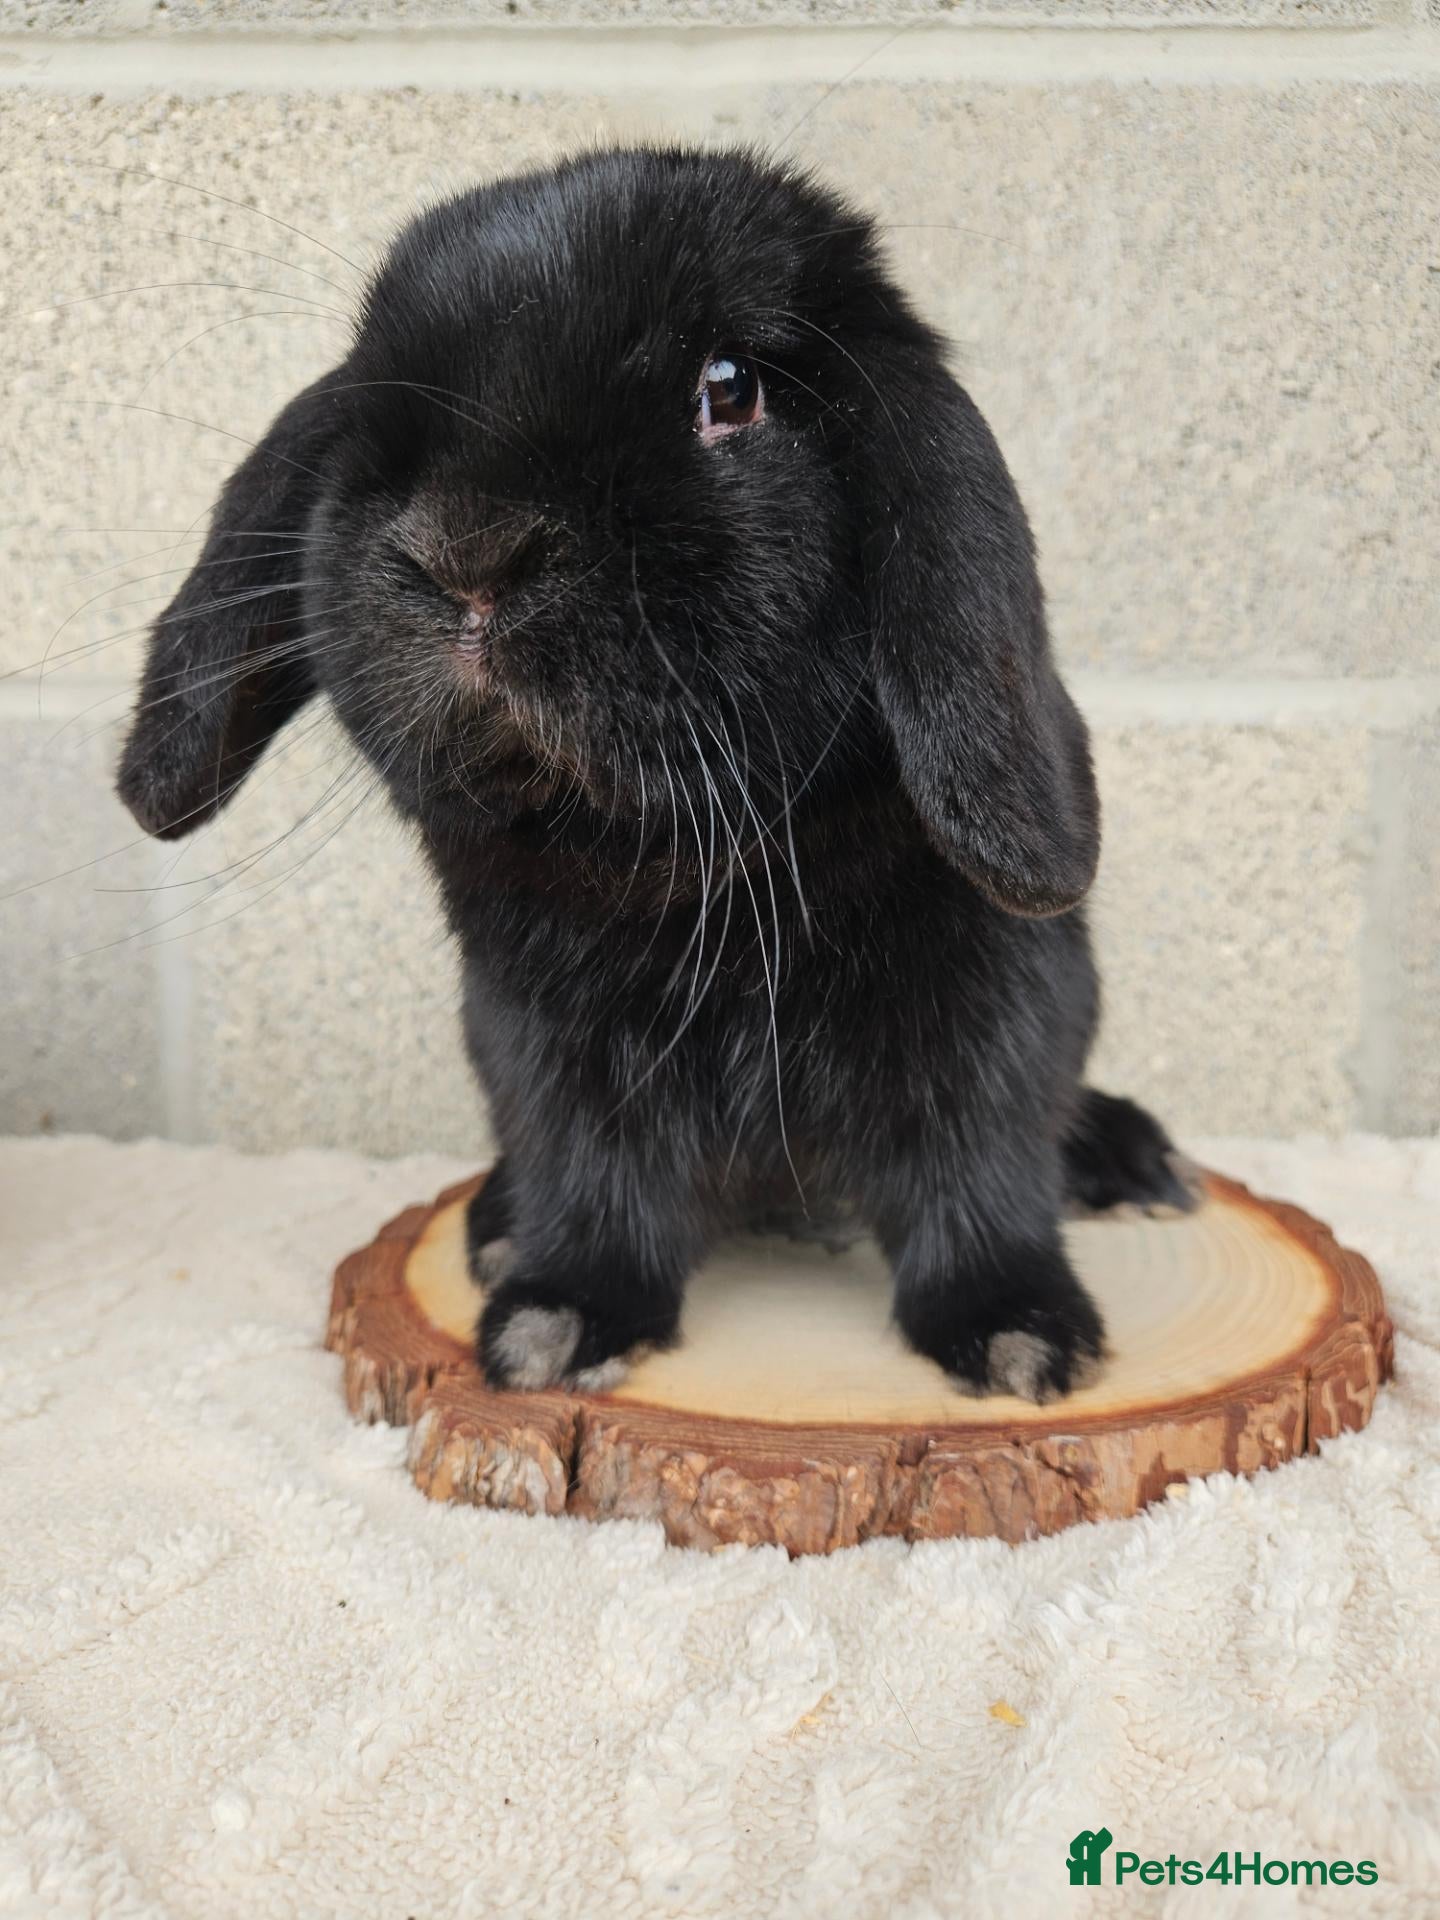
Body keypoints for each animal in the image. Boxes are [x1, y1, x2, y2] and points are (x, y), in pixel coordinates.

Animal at [116, 146, 1198, 1404]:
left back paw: (1133, 1161)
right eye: (378, 402)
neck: (687, 858)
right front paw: (556, 1326)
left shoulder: (991, 1003)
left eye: (731, 390)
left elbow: (976, 1164)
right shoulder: (540, 1037)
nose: (467, 549)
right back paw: (497, 1227)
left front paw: (1023, 1335)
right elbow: (592, 1176)